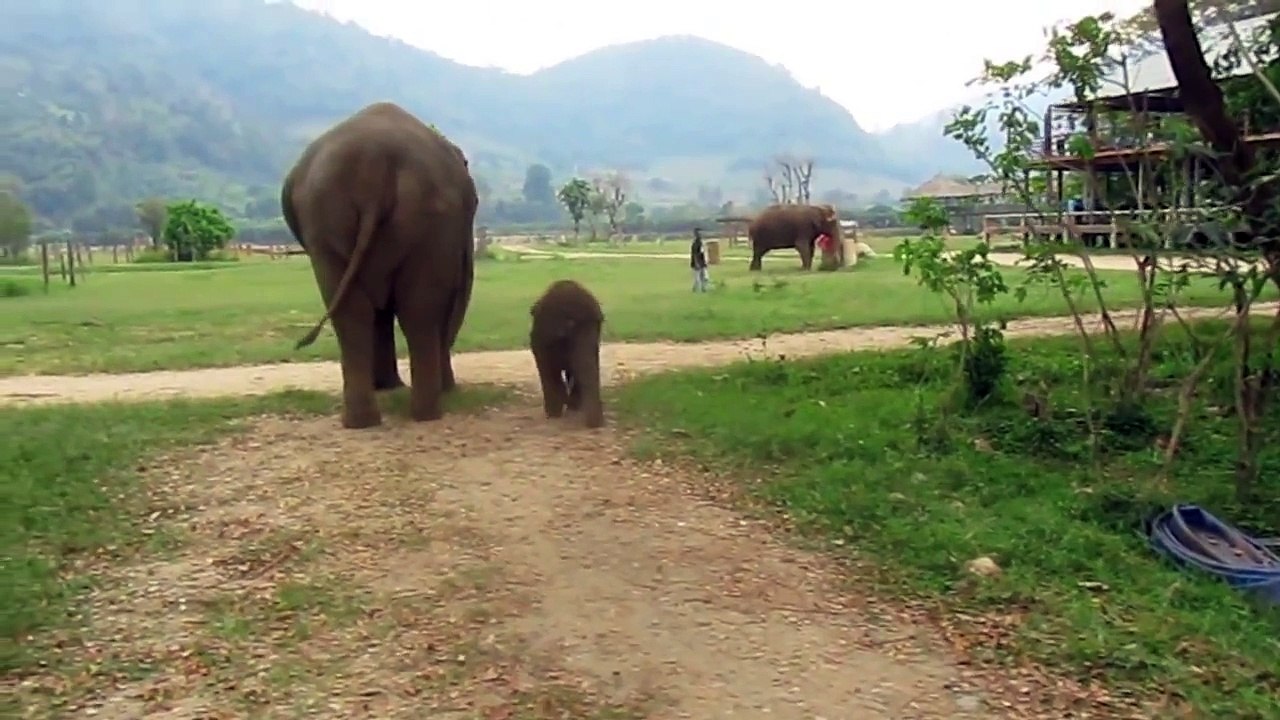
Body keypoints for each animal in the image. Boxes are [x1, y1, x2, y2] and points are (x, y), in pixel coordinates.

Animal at [282, 102, 478, 429]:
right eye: (475, 204)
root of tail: (373, 159)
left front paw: (390, 388)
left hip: (328, 221)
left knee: (366, 311)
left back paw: (376, 418)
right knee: (413, 309)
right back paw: (413, 413)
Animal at [529, 279, 605, 428]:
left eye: (598, 324)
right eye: (570, 325)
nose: (599, 424)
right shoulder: (541, 342)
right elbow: (548, 371)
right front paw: (555, 413)